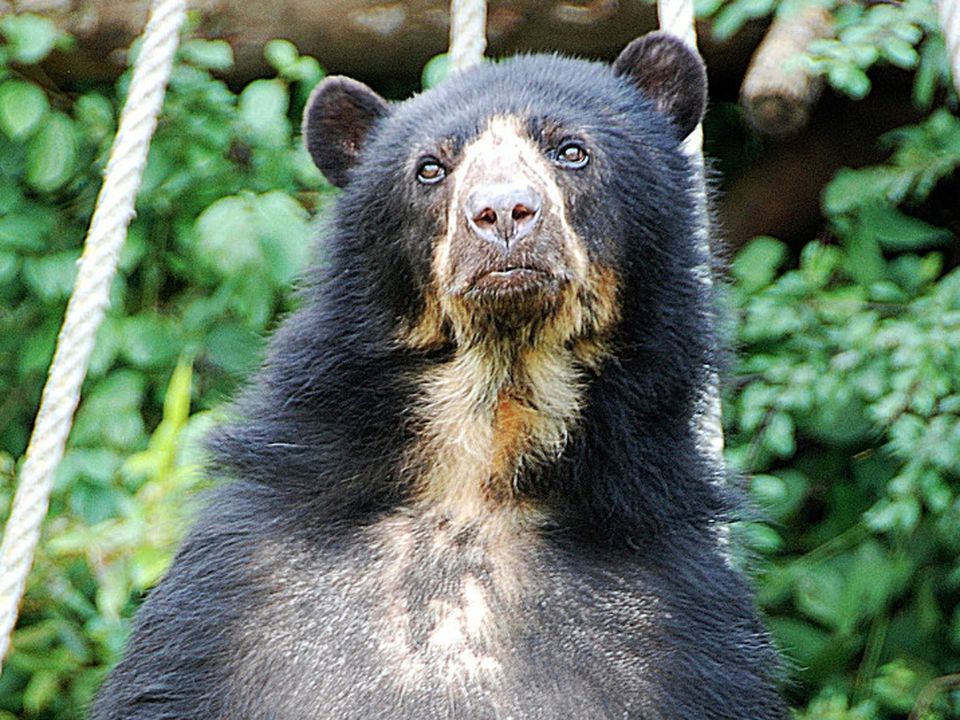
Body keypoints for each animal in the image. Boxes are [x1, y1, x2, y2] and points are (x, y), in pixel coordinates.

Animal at [94, 32, 788, 720]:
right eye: (430, 168)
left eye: (571, 150)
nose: (503, 212)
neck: (483, 452)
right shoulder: (225, 598)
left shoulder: (682, 618)